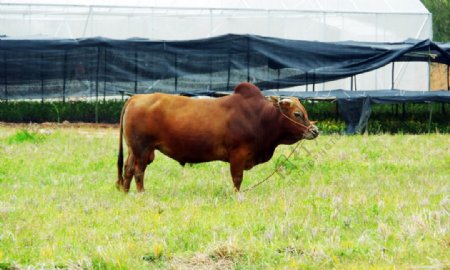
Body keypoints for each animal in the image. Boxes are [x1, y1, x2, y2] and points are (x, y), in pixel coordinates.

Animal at [116, 82, 320, 192]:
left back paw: (126, 192)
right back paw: (141, 193)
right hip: (143, 149)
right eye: (297, 114)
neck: (260, 117)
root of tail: (136, 97)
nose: (315, 131)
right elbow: (237, 178)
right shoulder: (238, 154)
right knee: (138, 172)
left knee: (128, 169)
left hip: (134, 149)